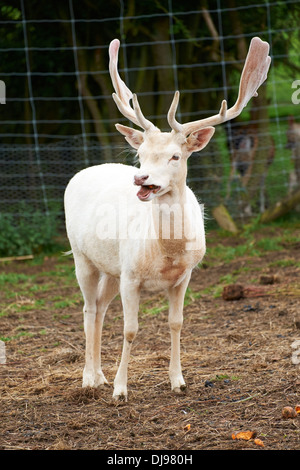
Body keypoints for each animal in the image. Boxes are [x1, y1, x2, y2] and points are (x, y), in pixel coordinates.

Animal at [64, 36, 270, 400]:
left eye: (176, 155)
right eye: (140, 154)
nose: (141, 178)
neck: (167, 253)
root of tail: (80, 173)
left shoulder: (183, 276)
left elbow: (176, 323)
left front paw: (178, 381)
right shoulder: (132, 276)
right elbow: (130, 330)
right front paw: (120, 390)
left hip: (111, 268)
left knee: (100, 307)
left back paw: (99, 375)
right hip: (81, 256)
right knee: (88, 308)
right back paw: (90, 379)